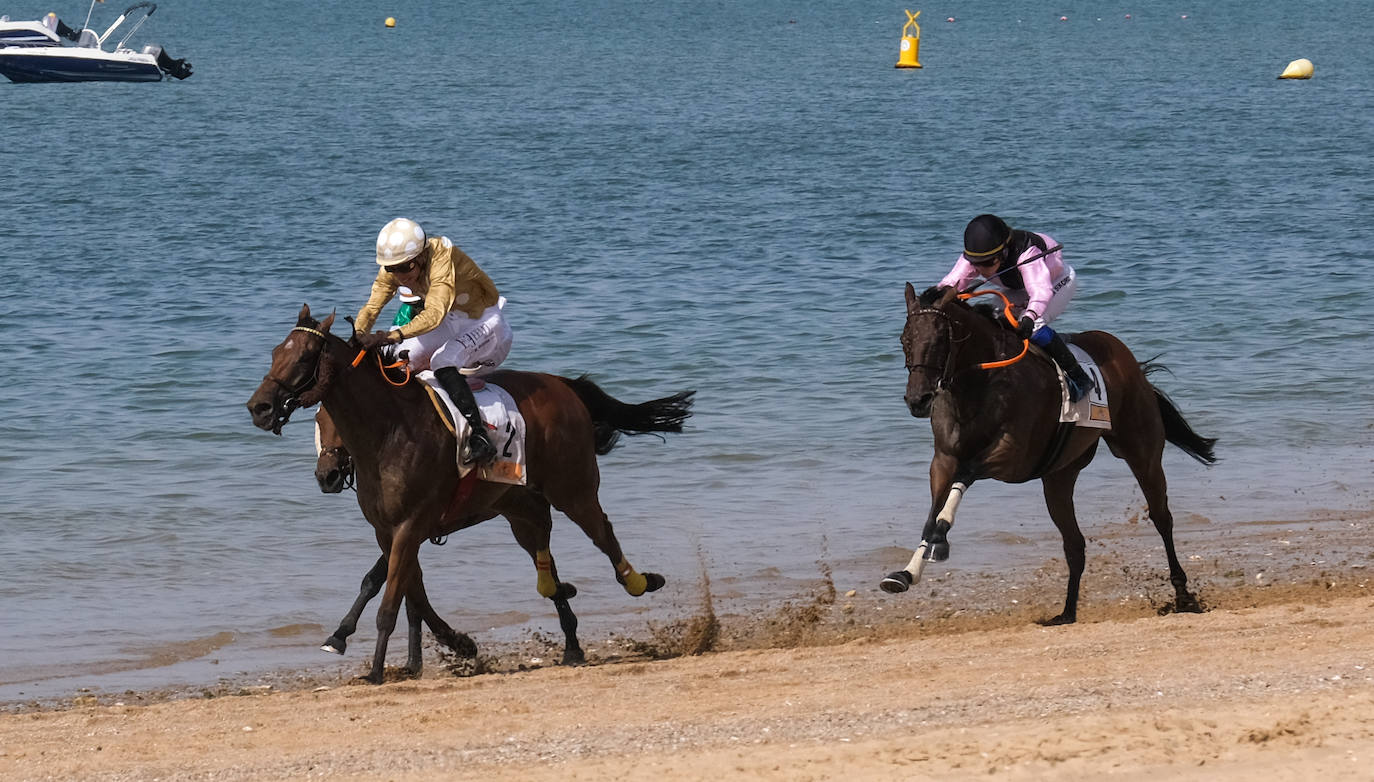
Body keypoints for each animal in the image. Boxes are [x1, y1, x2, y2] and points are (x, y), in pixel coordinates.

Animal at [248, 305, 694, 682]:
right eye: (274, 352)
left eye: (304, 357)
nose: (259, 407)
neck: (389, 431)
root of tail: (564, 385)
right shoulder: (390, 530)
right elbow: (407, 592)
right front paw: (449, 645)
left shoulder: (412, 524)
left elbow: (390, 598)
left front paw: (375, 669)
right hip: (521, 507)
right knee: (544, 551)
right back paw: (568, 631)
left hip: (573, 487)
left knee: (602, 531)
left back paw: (638, 582)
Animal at [885, 284, 1217, 624]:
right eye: (904, 339)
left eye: (940, 340)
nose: (918, 399)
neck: (982, 384)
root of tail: (1132, 364)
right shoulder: (943, 459)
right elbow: (933, 511)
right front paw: (905, 573)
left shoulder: (1011, 456)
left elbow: (964, 477)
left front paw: (939, 543)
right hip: (1059, 477)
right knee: (1074, 543)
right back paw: (1067, 612)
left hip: (1141, 452)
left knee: (1162, 517)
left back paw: (1183, 595)